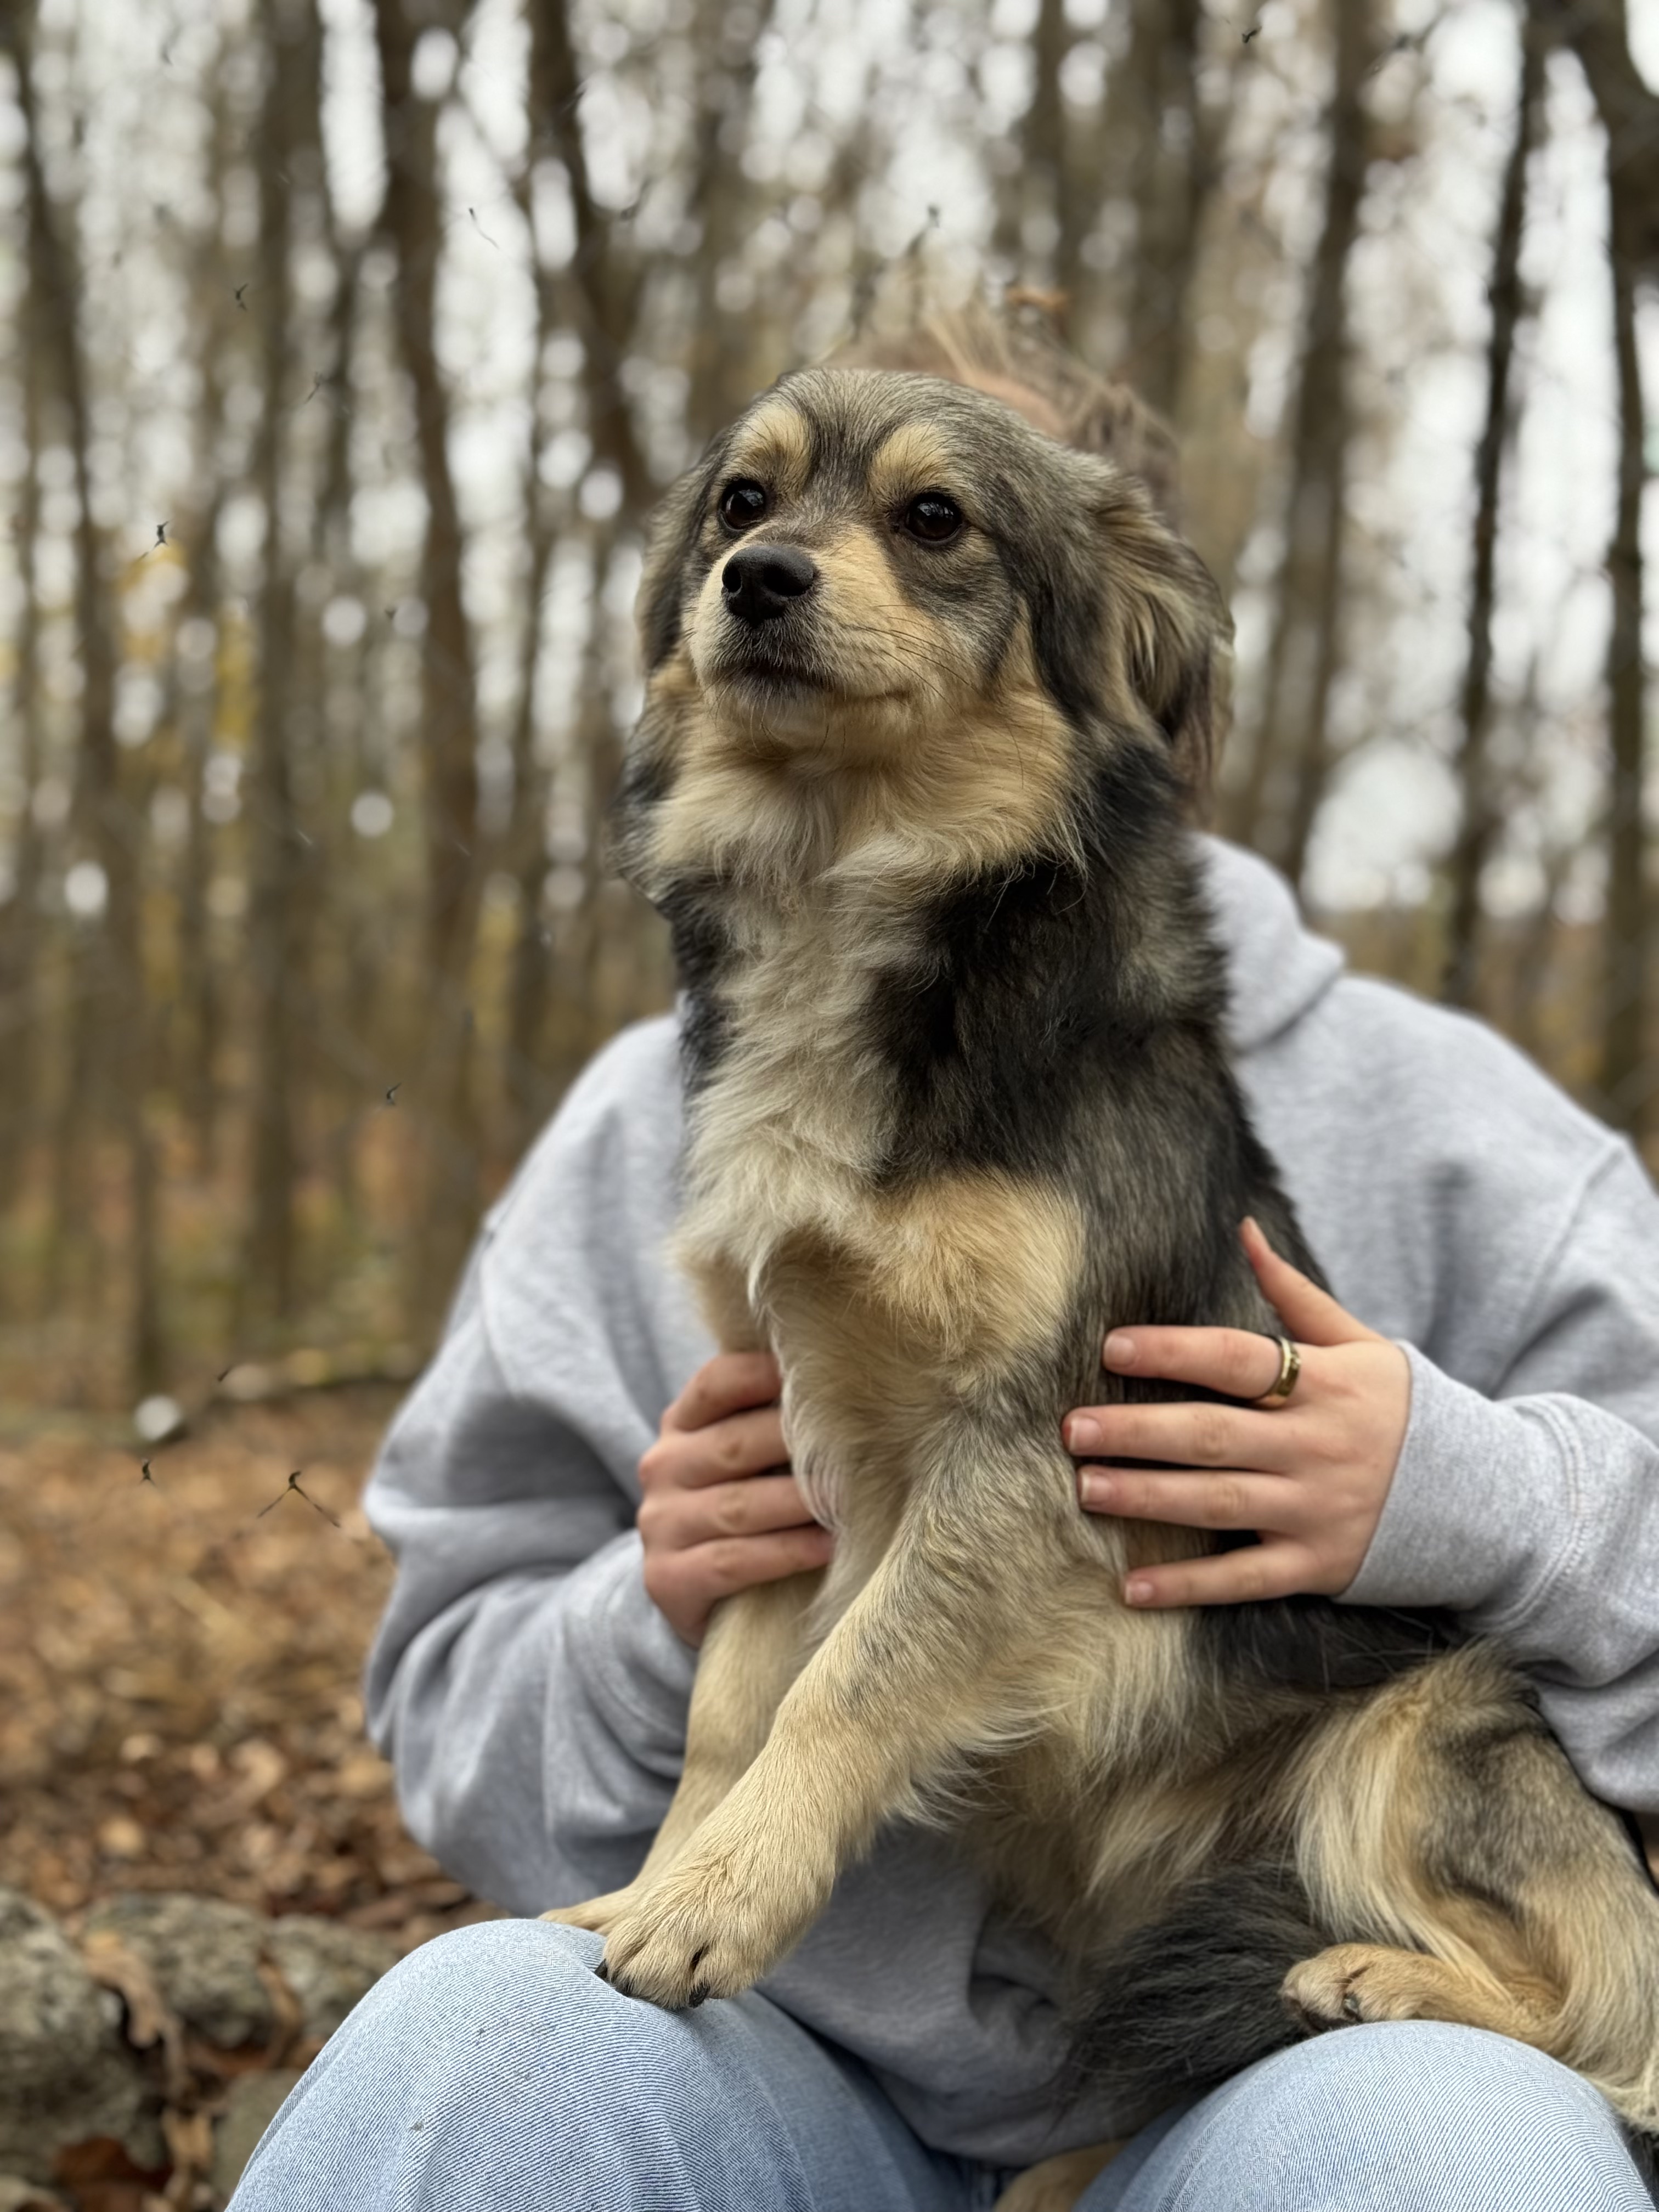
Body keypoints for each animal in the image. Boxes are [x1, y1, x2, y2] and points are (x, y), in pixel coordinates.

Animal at [546, 314, 1659, 2208]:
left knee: (1615, 2026)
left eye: (933, 520)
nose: (756, 583)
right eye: (742, 503)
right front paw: (659, 1883)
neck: (858, 877)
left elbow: (840, 1692)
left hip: (1417, 1735)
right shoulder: (776, 1432)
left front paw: (713, 1902)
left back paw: (1365, 1975)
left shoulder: (1028, 1448)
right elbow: (729, 1714)